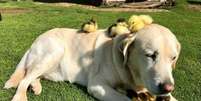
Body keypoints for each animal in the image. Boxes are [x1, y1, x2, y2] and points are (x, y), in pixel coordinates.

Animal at [4, 23, 181, 101]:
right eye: (150, 55)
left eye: (173, 58)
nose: (168, 87)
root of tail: (36, 40)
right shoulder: (97, 85)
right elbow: (124, 99)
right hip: (55, 50)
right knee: (24, 79)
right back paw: (21, 96)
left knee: (32, 76)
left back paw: (36, 86)